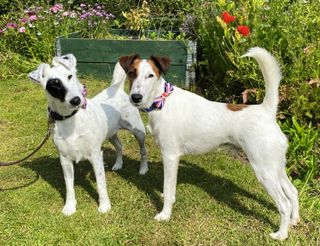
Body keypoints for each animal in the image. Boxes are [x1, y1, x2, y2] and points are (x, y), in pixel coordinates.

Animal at [28, 54, 148, 216]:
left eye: (70, 76)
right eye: (54, 84)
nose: (76, 100)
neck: (70, 119)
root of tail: (116, 87)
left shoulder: (95, 156)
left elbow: (101, 184)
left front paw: (104, 205)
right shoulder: (65, 160)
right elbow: (69, 186)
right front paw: (70, 206)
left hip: (138, 131)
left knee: (143, 149)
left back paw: (143, 169)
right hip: (110, 133)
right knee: (119, 145)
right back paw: (118, 164)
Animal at [119, 47, 300, 239]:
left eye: (151, 75)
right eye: (132, 73)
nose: (136, 97)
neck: (162, 101)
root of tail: (266, 111)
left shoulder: (170, 156)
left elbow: (168, 190)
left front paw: (165, 215)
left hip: (264, 171)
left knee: (284, 204)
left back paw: (281, 234)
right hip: (275, 167)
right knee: (293, 192)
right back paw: (294, 220)